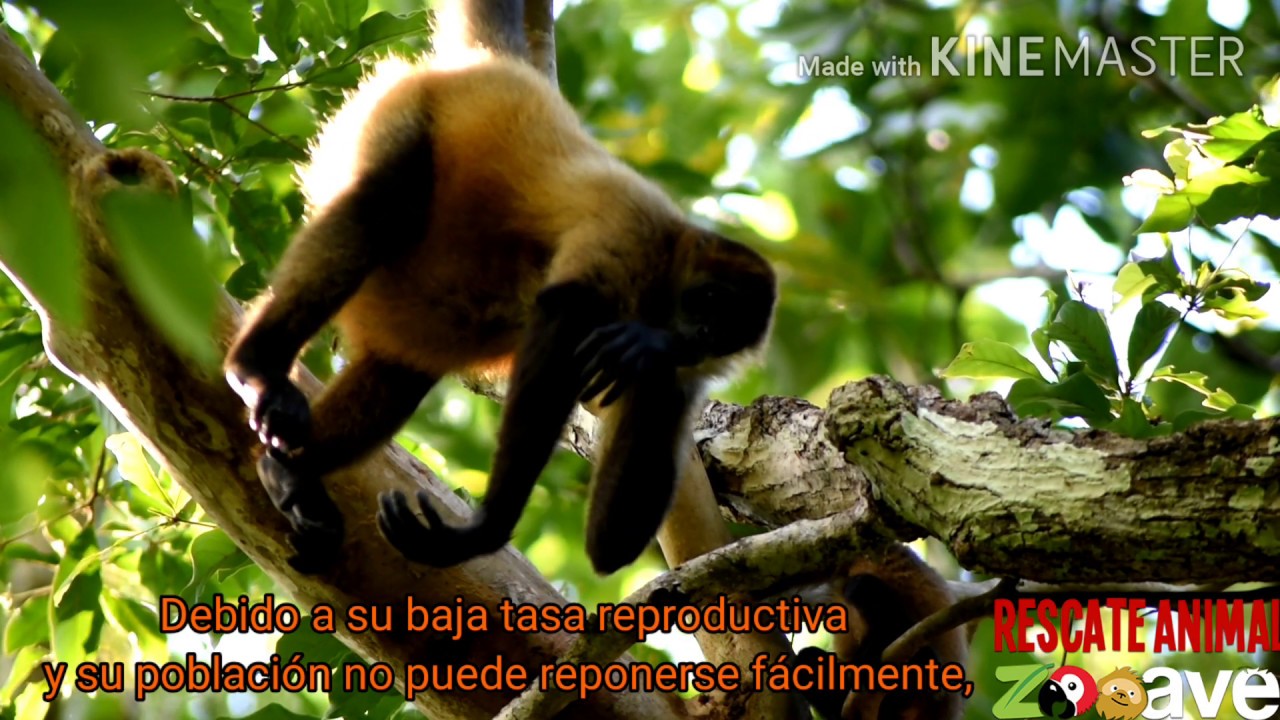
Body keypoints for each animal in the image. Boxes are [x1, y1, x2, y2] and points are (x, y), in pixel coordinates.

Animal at [223, 0, 777, 576]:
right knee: (381, 207)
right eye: (709, 301)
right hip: (399, 109)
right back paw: (255, 369)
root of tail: (492, 65)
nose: (698, 332)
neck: (669, 258)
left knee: (404, 369)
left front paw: (654, 349)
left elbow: (610, 543)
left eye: (722, 332)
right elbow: (564, 310)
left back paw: (288, 473)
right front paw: (485, 529)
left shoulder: (680, 378)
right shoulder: (636, 229)